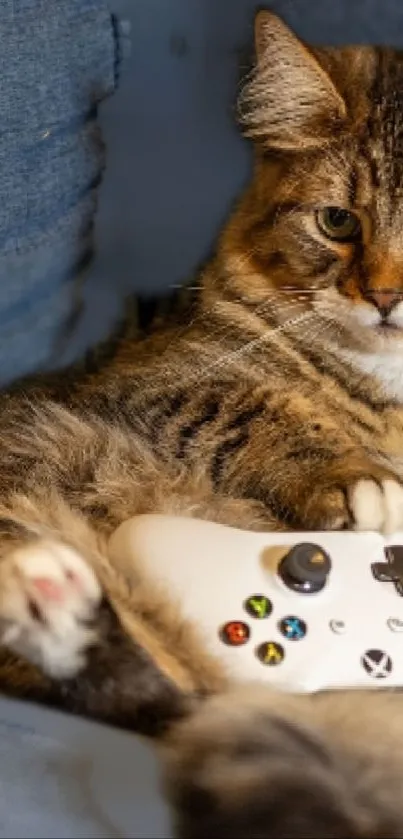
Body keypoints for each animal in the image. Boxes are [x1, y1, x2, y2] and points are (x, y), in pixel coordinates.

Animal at [0, 9, 403, 836]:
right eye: (337, 222)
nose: (384, 299)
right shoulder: (159, 378)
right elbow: (256, 410)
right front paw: (360, 478)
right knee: (140, 693)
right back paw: (47, 595)